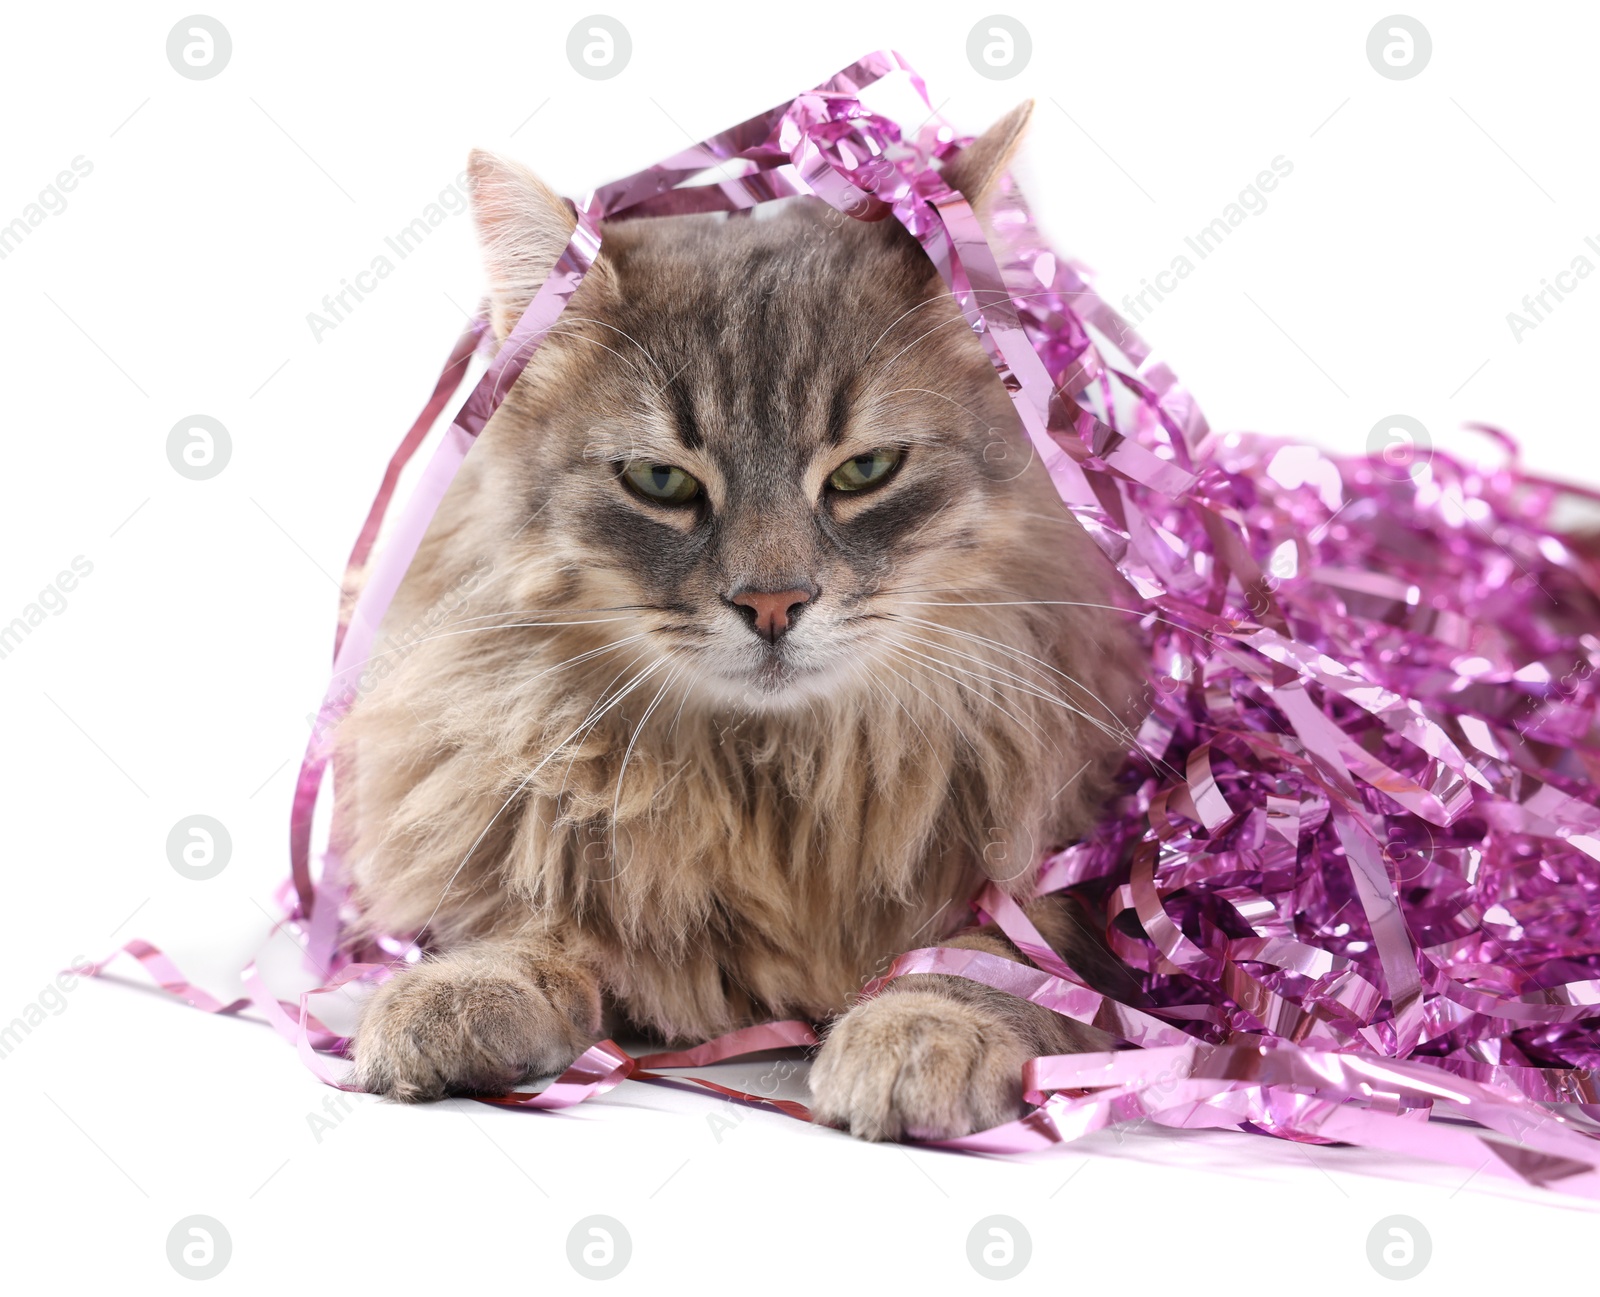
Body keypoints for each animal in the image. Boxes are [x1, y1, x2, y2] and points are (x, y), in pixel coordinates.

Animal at [344, 98, 1145, 1138]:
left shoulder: (1056, 886)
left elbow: (987, 964)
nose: (773, 602)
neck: (777, 777)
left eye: (864, 471)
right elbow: (535, 925)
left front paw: (916, 1035)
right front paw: (459, 991)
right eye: (661, 482)